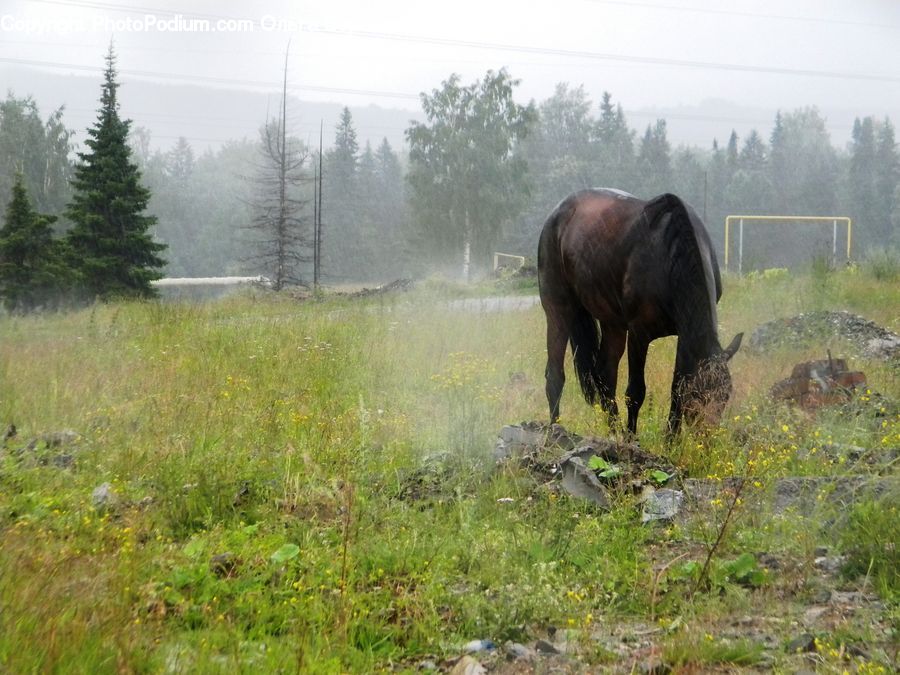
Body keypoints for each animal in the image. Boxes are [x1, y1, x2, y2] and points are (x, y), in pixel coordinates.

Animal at [537, 188, 742, 438]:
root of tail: (556, 214)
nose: (709, 439)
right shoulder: (639, 333)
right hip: (558, 309)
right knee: (555, 375)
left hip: (613, 323)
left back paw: (613, 431)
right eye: (697, 395)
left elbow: (676, 387)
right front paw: (632, 438)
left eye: (725, 395)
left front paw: (670, 439)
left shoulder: (684, 335)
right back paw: (555, 429)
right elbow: (636, 392)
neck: (669, 256)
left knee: (605, 375)